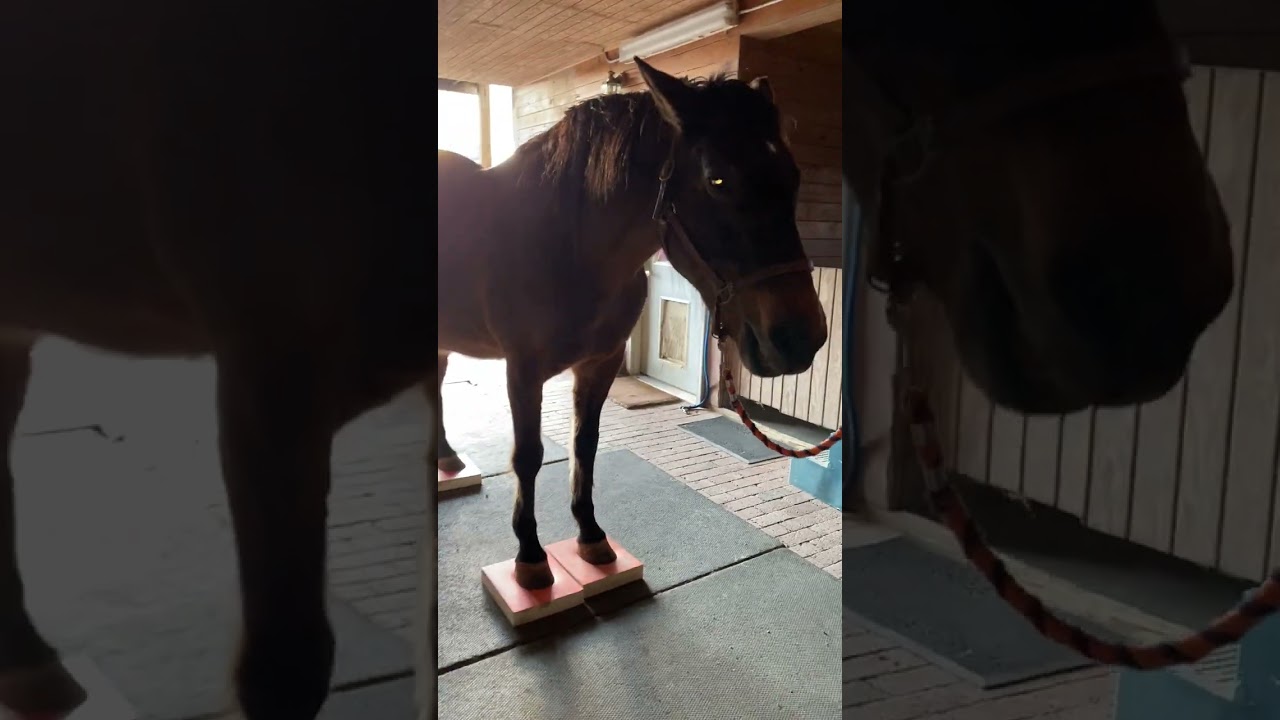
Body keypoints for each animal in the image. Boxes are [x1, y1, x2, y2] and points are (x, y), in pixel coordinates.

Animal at [434, 59, 828, 593]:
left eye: (793, 174)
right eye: (717, 180)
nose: (802, 337)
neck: (566, 246)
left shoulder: (601, 363)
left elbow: (586, 444)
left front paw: (591, 536)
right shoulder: (523, 371)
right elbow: (528, 456)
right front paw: (530, 557)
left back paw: (446, 458)